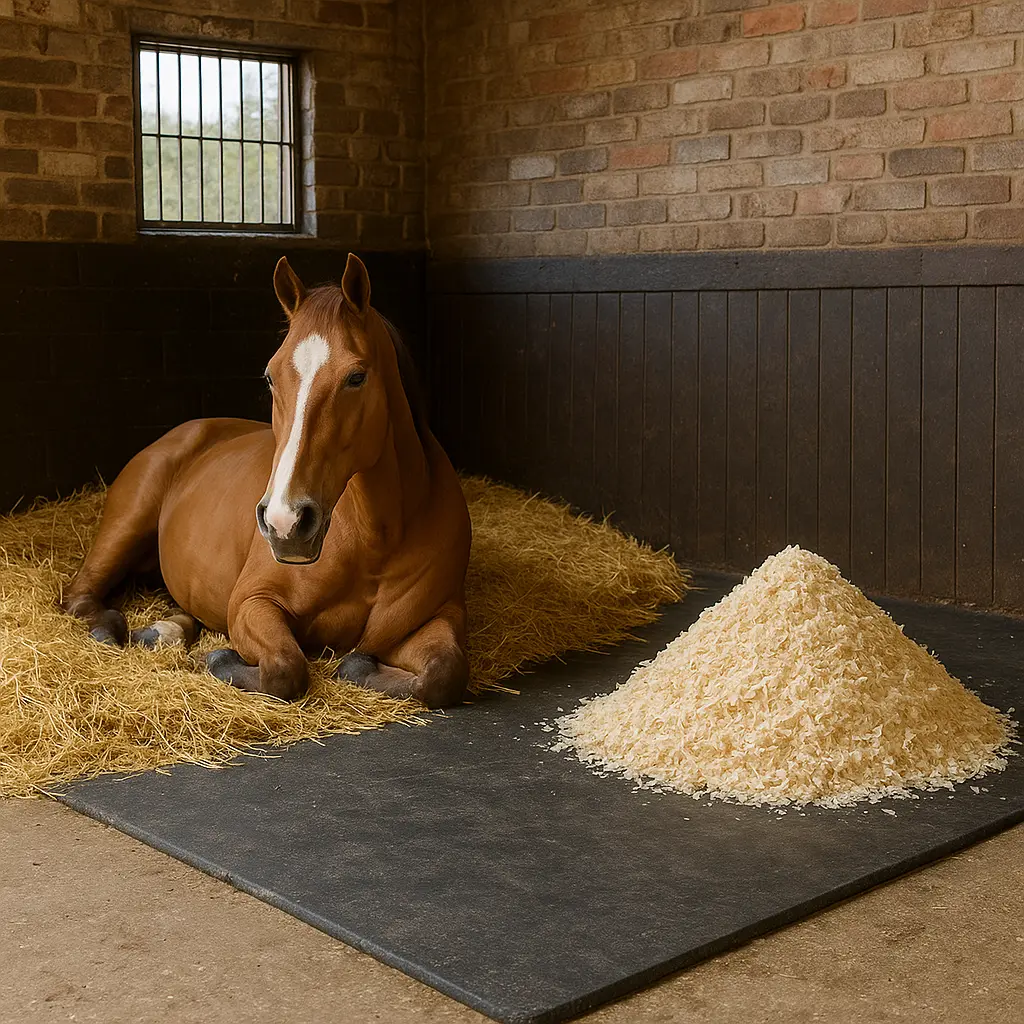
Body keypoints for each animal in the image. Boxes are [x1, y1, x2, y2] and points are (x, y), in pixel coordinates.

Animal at [62, 254, 472, 709]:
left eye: (356, 377)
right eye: (271, 377)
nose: (285, 523)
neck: (376, 538)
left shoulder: (435, 617)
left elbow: (443, 674)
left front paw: (359, 666)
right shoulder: (252, 603)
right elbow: (283, 669)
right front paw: (219, 657)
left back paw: (168, 628)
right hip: (126, 526)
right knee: (80, 598)